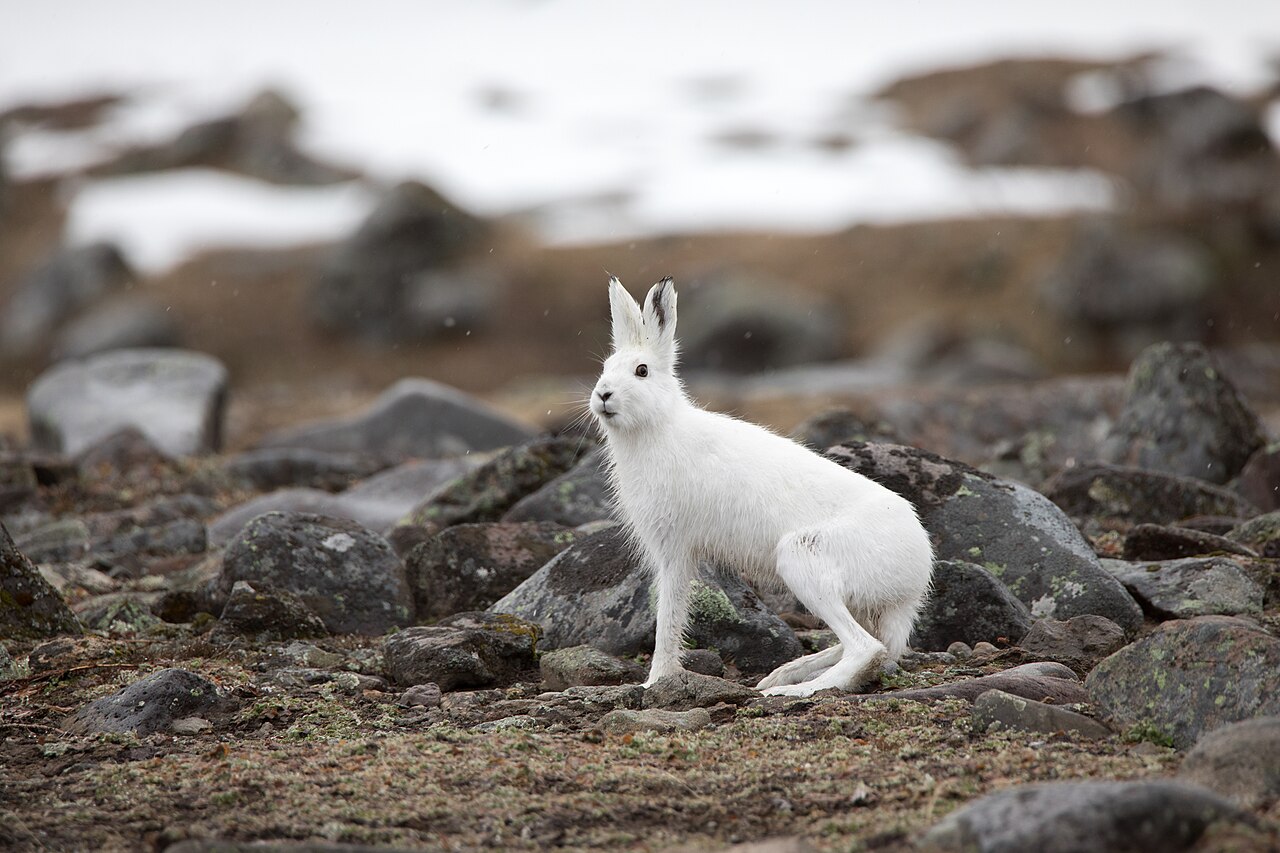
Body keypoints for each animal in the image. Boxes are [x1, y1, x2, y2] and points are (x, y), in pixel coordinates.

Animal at [589, 276, 934, 697]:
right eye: (605, 368)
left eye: (641, 371)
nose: (603, 395)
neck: (658, 426)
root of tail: (915, 579)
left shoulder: (674, 547)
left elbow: (669, 616)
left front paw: (654, 682)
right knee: (873, 644)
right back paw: (785, 673)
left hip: (803, 557)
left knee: (865, 648)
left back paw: (789, 690)